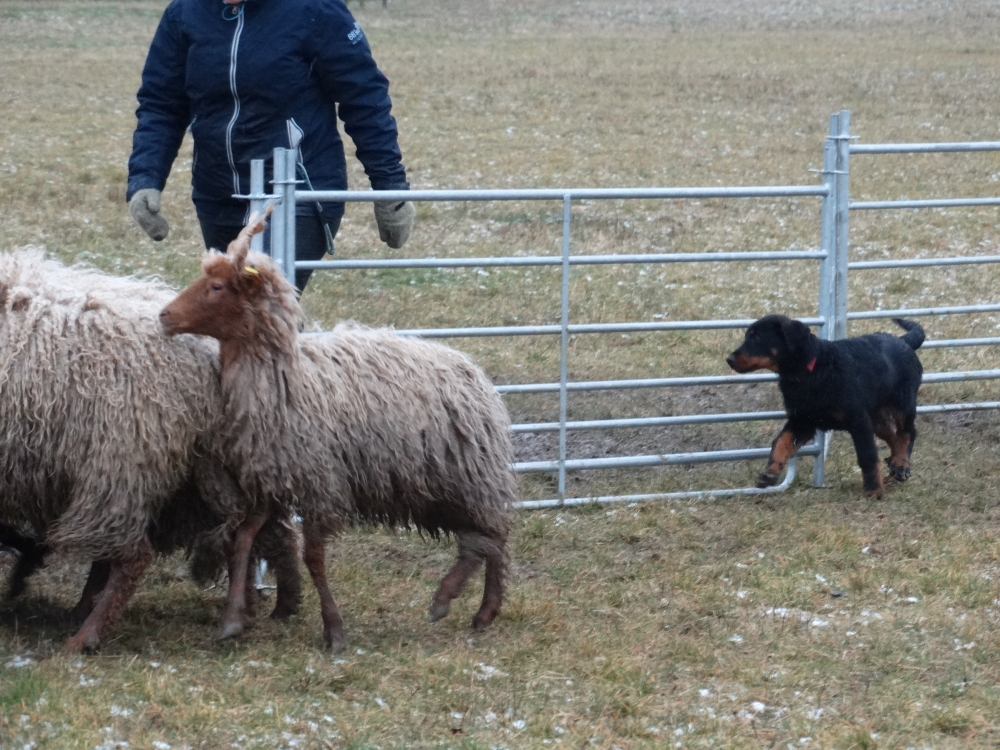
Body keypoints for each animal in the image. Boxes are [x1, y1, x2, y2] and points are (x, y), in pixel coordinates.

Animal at [0, 248, 292, 652]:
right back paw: (253, 610)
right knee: (248, 527)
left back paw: (84, 636)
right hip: (204, 468)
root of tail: (204, 353)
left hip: (119, 462)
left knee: (133, 556)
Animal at [160, 214, 520, 648]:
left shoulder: (320, 482)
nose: (163, 316)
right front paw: (232, 620)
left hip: (466, 476)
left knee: (492, 535)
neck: (282, 382)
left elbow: (313, 556)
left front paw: (333, 629)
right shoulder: (272, 476)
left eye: (216, 287)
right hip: (440, 484)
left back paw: (461, 603)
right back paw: (471, 608)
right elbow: (243, 539)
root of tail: (472, 370)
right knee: (486, 539)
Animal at [728, 314, 920, 496]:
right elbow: (781, 442)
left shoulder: (858, 420)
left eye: (757, 337)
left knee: (907, 432)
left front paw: (873, 490)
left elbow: (867, 455)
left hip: (902, 403)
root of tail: (904, 341)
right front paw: (770, 473)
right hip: (876, 415)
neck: (810, 373)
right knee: (893, 435)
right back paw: (894, 466)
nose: (729, 359)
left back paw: (901, 465)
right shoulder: (802, 421)